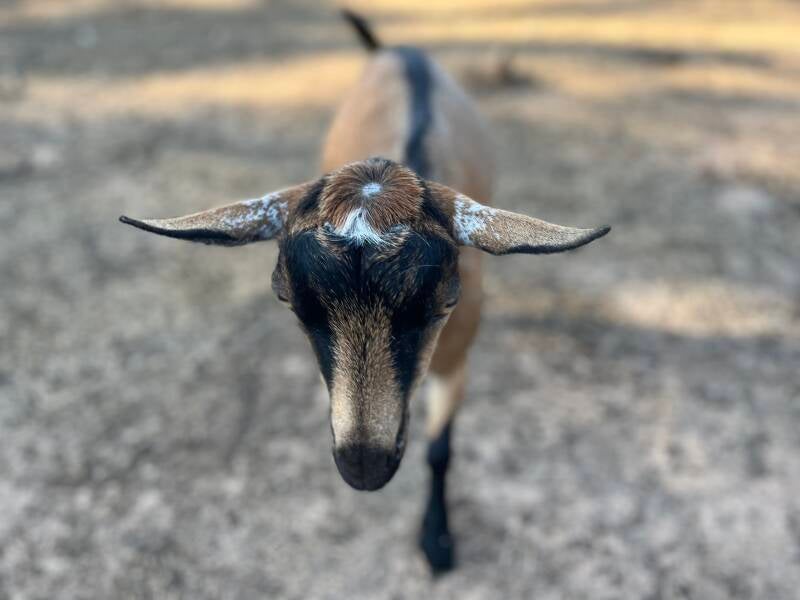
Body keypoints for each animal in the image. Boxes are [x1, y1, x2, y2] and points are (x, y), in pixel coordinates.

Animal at [120, 11, 610, 573]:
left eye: (445, 300)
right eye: (288, 299)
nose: (364, 469)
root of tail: (397, 51)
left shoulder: (456, 359)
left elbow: (440, 450)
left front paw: (437, 542)